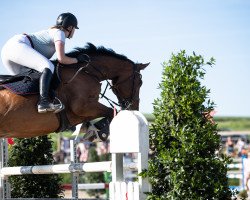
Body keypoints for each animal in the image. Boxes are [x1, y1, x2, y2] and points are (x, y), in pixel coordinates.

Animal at [0, 42, 148, 139]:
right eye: (140, 82)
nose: (135, 107)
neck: (87, 72)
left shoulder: (81, 113)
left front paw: (91, 129)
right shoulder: (83, 107)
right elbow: (111, 112)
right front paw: (102, 131)